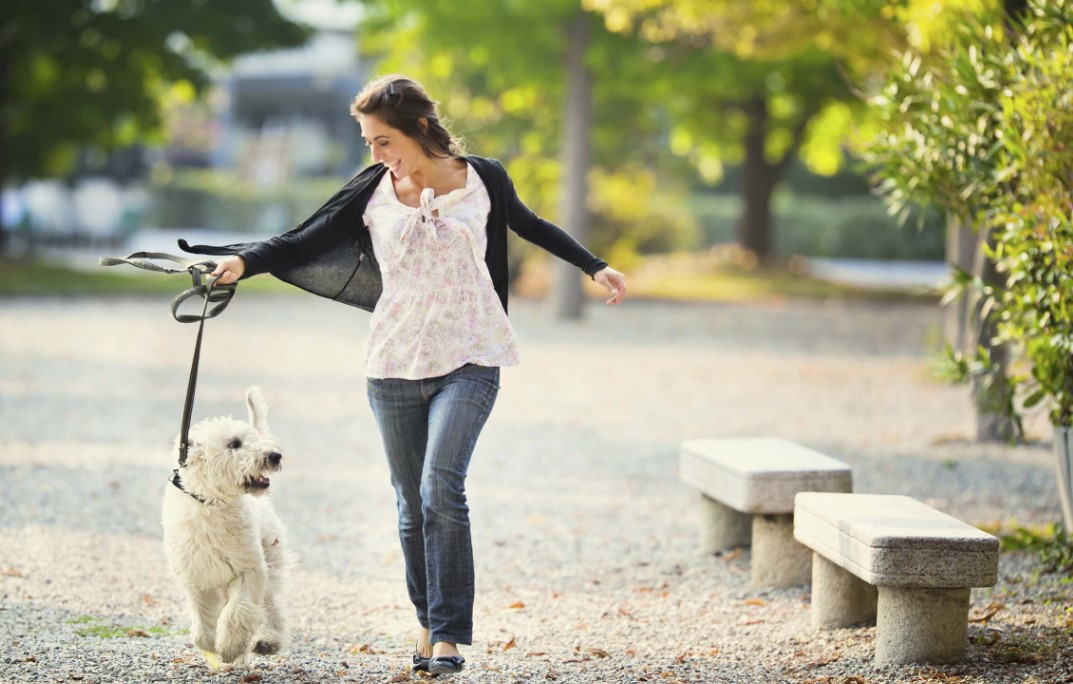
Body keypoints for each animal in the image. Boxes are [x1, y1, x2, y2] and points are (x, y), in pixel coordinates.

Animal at [162, 386, 294, 665]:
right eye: (234, 444)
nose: (274, 455)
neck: (211, 504)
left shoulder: (249, 568)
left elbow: (239, 610)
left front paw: (230, 646)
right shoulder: (196, 577)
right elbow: (201, 627)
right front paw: (211, 644)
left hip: (271, 559)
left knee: (270, 605)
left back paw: (268, 640)